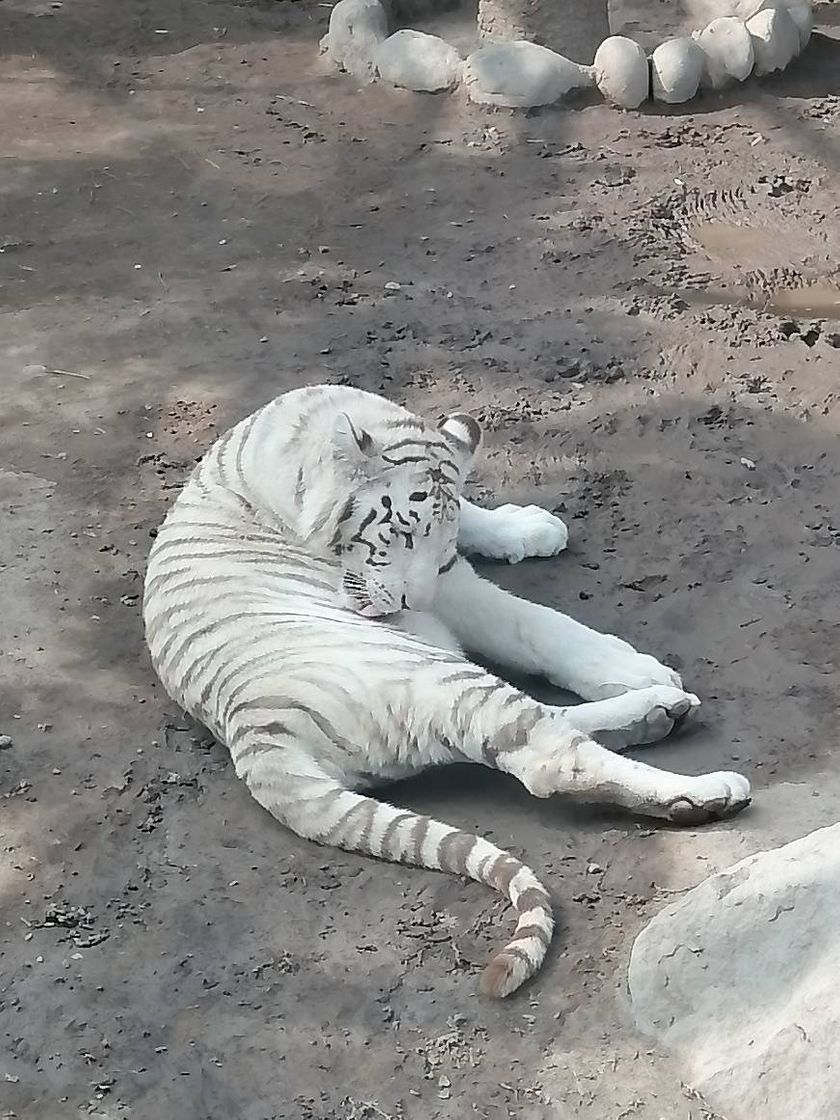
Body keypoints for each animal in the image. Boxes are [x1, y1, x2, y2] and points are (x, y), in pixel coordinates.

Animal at [141, 383, 752, 999]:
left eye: (437, 544)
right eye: (399, 534)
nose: (413, 605)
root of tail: (254, 734)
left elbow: (495, 558)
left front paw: (529, 529)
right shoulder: (449, 590)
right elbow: (530, 622)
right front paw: (630, 665)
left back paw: (659, 713)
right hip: (432, 675)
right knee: (547, 759)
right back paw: (702, 787)